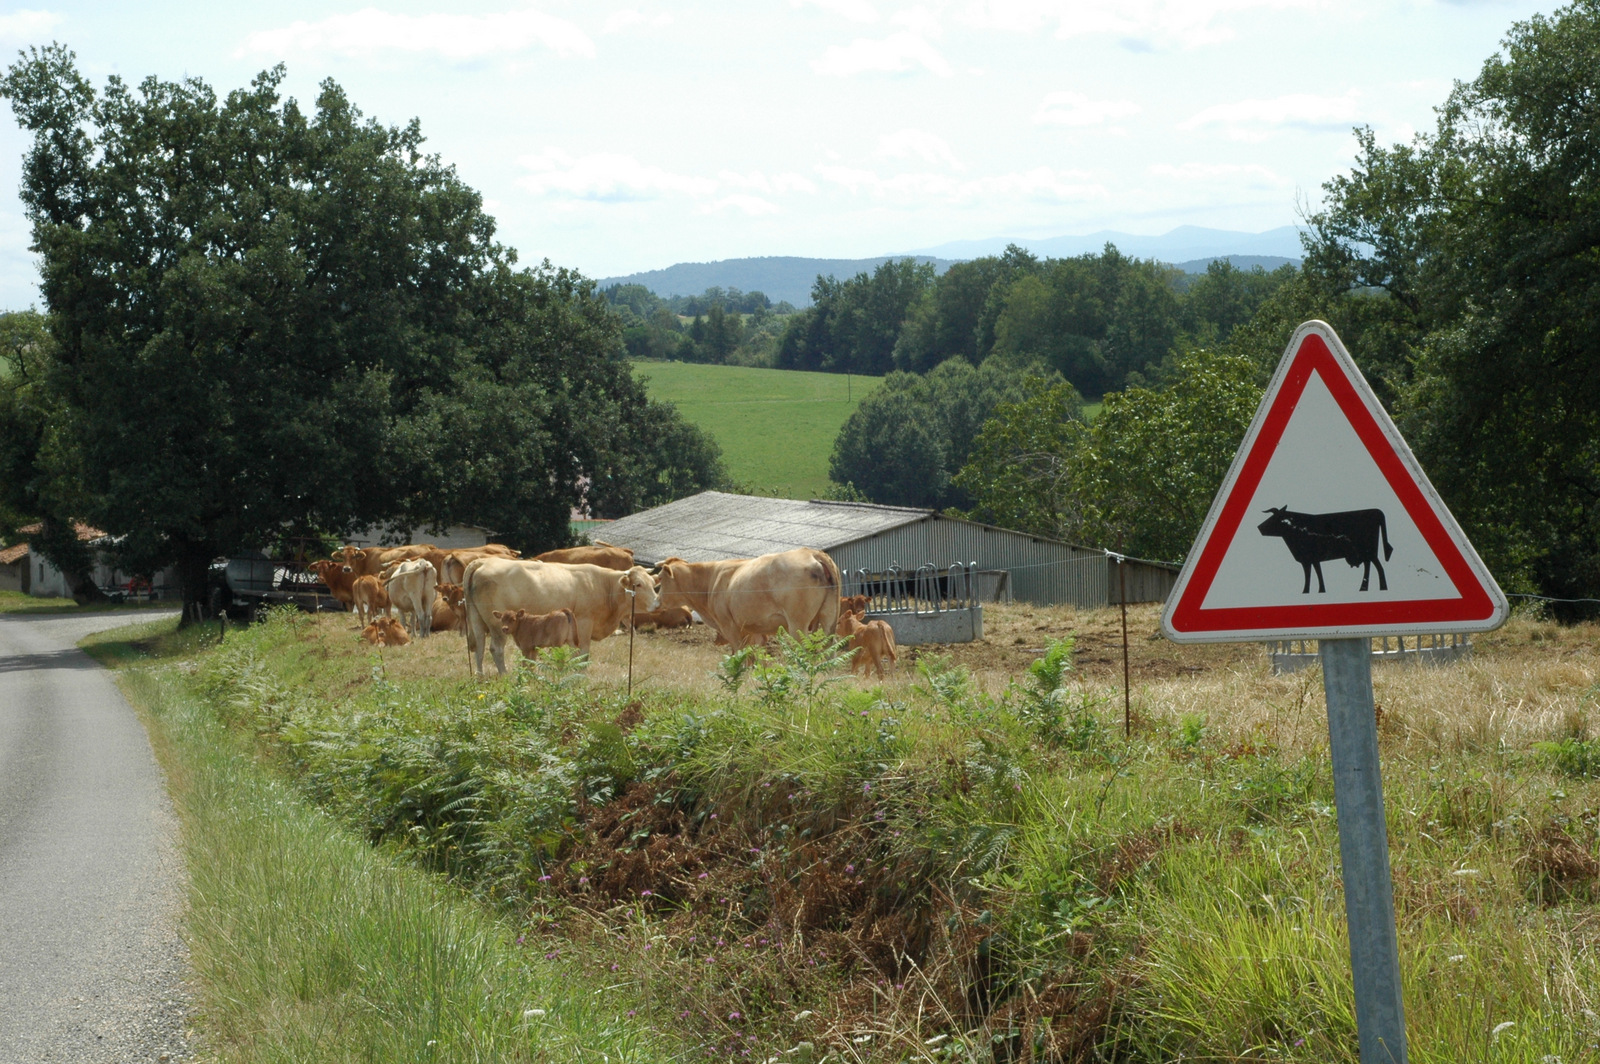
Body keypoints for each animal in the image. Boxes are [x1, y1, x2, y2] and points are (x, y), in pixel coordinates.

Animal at [462, 558, 660, 674]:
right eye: (638, 584)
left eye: (653, 583)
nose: (657, 604)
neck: (605, 586)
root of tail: (483, 561)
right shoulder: (584, 624)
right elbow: (582, 655)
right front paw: (579, 678)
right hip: (497, 626)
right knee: (496, 649)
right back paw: (504, 675)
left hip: (477, 619)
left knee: (479, 647)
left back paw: (479, 677)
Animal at [651, 548, 841, 651]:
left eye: (660, 578)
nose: (654, 603)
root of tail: (812, 553)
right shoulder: (753, 630)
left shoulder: (729, 627)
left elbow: (741, 655)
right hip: (829, 618)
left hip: (798, 624)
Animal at [1257, 506, 1394, 594]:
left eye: (1273, 519)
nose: (1259, 527)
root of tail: (1376, 511)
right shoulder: (1311, 559)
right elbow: (1315, 573)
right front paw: (1317, 590)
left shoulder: (1309, 558)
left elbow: (1311, 574)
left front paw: (1309, 591)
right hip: (1365, 553)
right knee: (1368, 566)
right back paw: (1363, 588)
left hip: (1370, 552)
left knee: (1378, 566)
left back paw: (1382, 588)